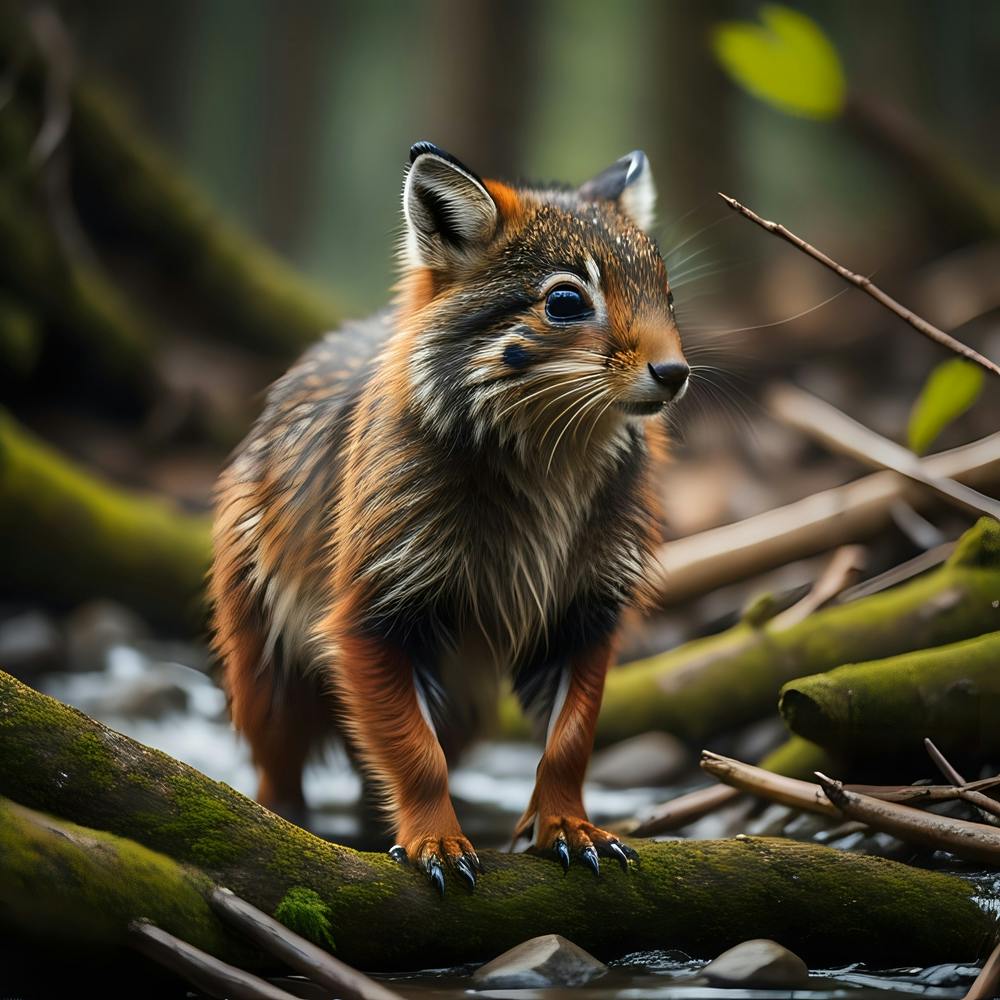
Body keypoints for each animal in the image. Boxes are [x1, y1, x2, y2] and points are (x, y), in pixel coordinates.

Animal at [209, 142, 689, 893]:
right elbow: (415, 755)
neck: (550, 459)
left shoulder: (586, 611)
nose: (676, 373)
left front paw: (568, 827)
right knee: (278, 771)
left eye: (665, 296)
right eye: (565, 302)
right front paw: (435, 840)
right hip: (266, 673)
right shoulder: (372, 612)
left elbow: (569, 742)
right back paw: (286, 823)